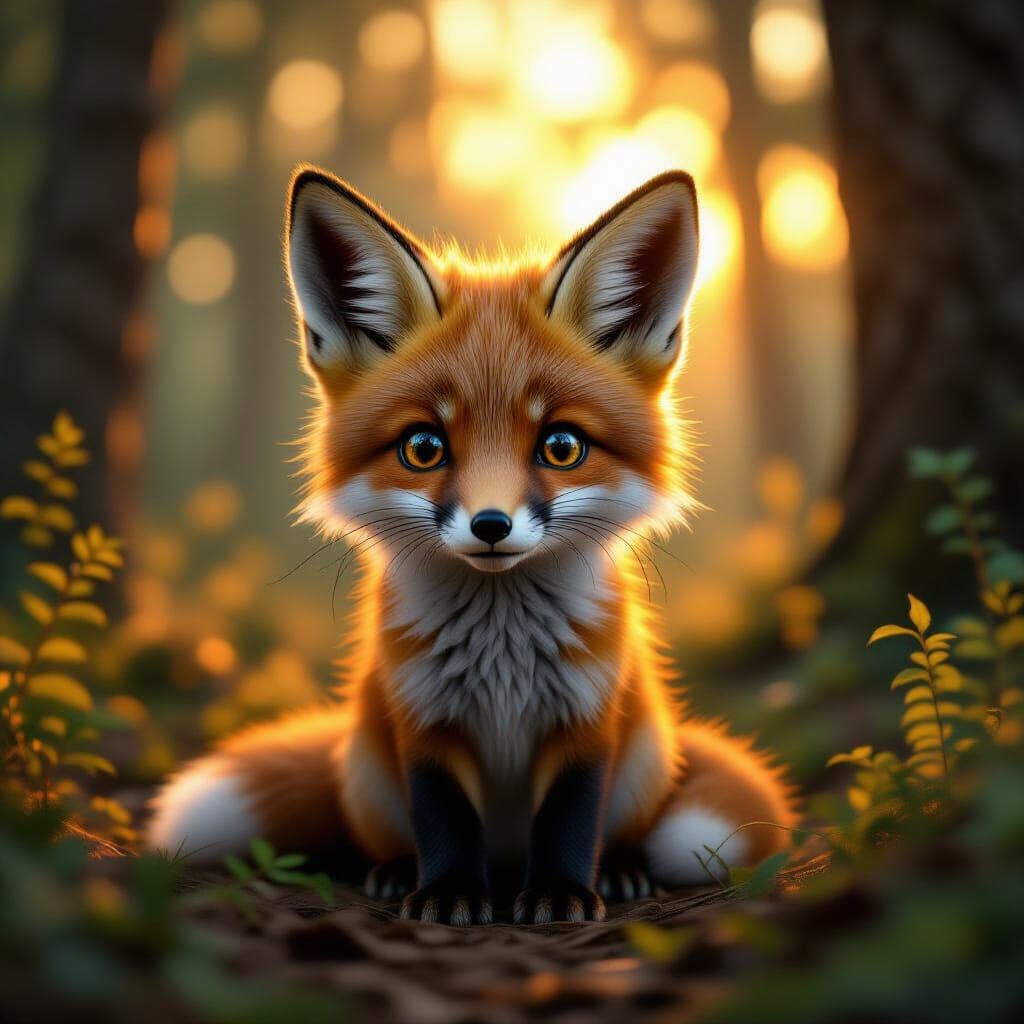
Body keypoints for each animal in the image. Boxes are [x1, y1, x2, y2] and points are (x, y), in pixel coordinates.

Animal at [147, 166, 798, 925]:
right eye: (424, 447)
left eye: (562, 446)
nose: (491, 525)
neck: (503, 651)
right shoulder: (423, 717)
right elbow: (445, 818)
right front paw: (449, 894)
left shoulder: (587, 718)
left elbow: (570, 819)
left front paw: (561, 894)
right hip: (369, 769)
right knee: (389, 836)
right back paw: (397, 872)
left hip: (645, 754)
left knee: (622, 829)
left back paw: (620, 870)